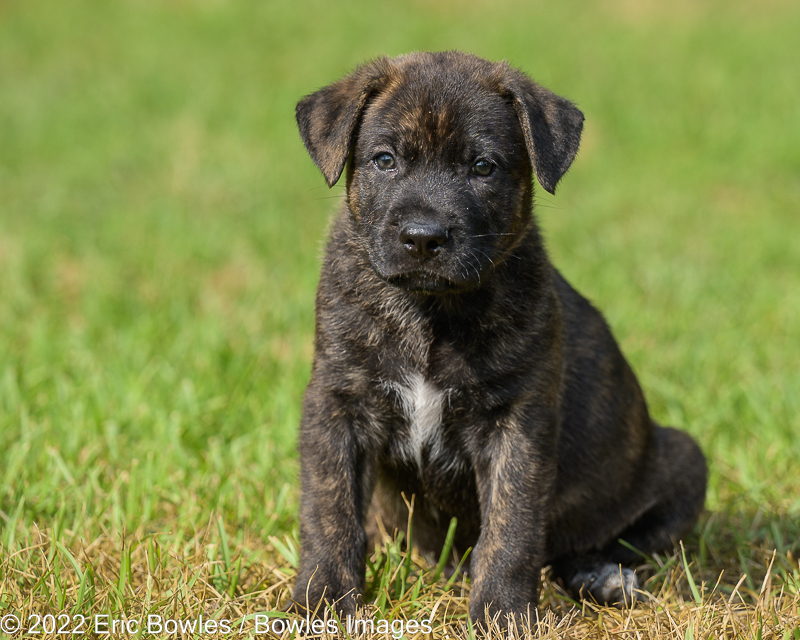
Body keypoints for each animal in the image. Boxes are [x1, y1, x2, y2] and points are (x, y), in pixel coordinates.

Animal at [290, 52, 708, 628]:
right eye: (384, 160)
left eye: (483, 167)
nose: (424, 238)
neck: (430, 312)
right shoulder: (338, 404)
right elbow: (328, 511)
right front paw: (320, 600)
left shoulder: (518, 424)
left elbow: (512, 528)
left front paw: (502, 613)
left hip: (682, 459)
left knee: (590, 547)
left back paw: (601, 577)